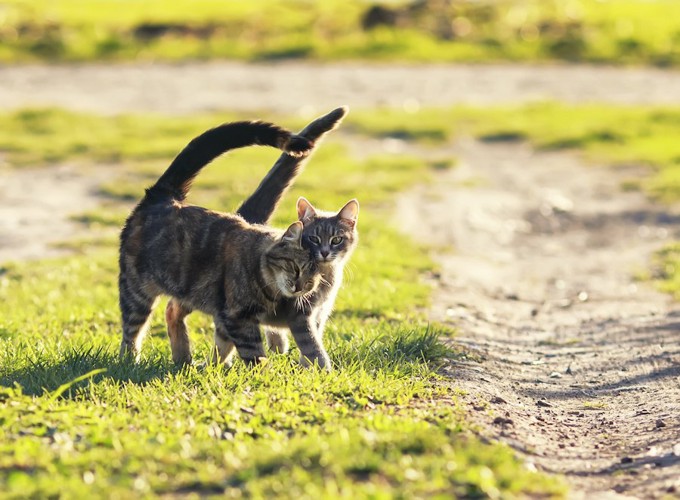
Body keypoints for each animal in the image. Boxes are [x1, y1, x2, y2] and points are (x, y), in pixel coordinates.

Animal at [119, 118, 326, 368]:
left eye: (313, 278)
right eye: (296, 267)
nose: (300, 286)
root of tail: (163, 195)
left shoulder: (227, 316)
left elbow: (224, 345)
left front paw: (215, 367)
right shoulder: (237, 317)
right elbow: (253, 353)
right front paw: (262, 372)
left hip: (192, 290)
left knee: (171, 310)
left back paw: (183, 359)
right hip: (137, 291)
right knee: (132, 330)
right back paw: (130, 360)